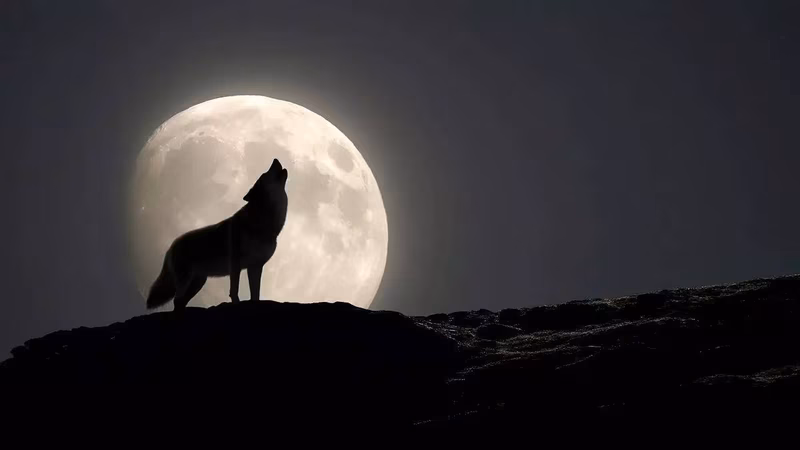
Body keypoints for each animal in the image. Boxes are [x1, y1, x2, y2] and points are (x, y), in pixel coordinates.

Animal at [146, 158, 289, 311]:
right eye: (264, 174)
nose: (275, 159)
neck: (263, 220)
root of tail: (171, 246)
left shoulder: (255, 267)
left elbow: (255, 295)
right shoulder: (235, 264)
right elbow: (234, 291)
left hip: (198, 282)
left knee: (181, 302)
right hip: (186, 281)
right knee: (177, 301)